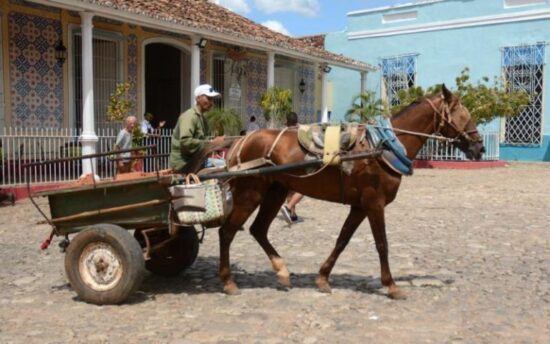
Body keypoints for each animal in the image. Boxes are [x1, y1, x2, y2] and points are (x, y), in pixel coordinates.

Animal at [218, 85, 486, 298]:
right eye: (463, 116)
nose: (479, 147)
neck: (384, 147)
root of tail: (240, 142)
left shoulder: (360, 206)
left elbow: (342, 240)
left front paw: (323, 278)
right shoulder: (374, 203)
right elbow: (382, 243)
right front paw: (391, 285)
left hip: (276, 192)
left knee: (258, 229)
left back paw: (282, 271)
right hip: (250, 193)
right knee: (227, 231)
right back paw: (228, 282)